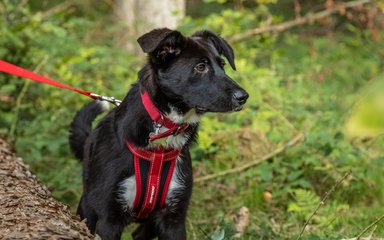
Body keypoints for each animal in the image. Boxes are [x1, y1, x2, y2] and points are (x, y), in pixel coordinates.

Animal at [69, 28, 249, 240]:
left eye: (222, 65)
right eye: (200, 67)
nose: (243, 97)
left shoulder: (173, 218)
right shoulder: (109, 219)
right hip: (87, 207)